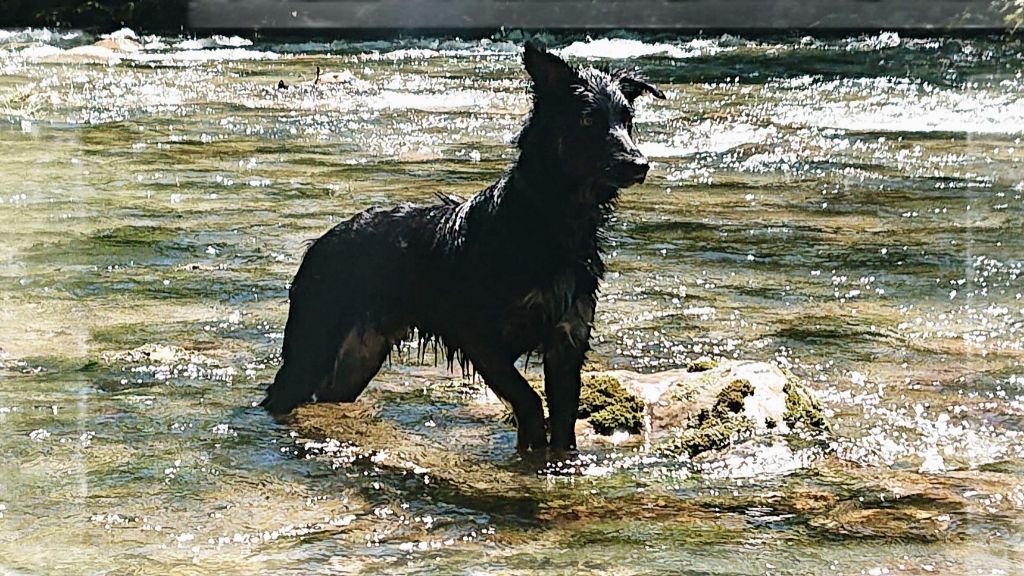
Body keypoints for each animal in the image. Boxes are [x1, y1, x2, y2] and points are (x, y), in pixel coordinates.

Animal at [262, 41, 663, 453]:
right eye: (586, 120)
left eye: (627, 119)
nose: (640, 164)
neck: (549, 218)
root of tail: (319, 244)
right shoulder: (479, 336)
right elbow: (529, 401)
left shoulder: (567, 341)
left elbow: (563, 426)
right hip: (314, 344)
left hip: (359, 355)